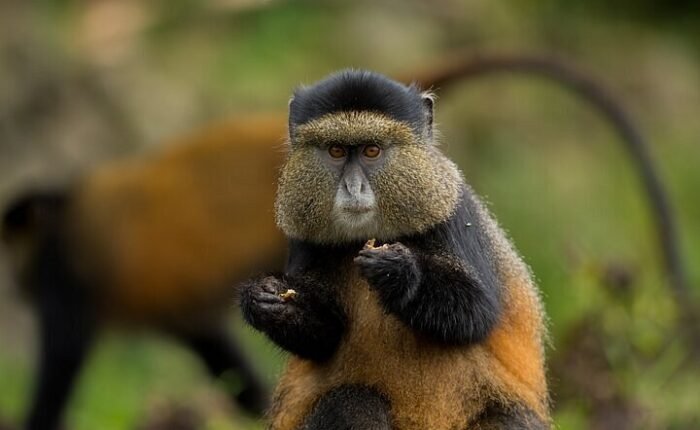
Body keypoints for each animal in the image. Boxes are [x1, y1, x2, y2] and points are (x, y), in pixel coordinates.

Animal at [239, 70, 550, 429]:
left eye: (372, 151)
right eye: (336, 151)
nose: (353, 188)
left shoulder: (453, 213)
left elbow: (478, 311)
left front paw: (399, 272)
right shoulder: (304, 237)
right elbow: (325, 336)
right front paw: (265, 299)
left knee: (507, 419)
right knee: (351, 402)